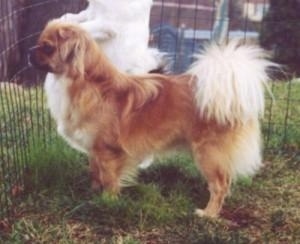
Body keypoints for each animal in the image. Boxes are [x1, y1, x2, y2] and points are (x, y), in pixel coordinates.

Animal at [29, 20, 274, 217]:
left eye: (48, 47)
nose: (30, 51)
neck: (86, 85)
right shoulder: (95, 150)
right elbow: (95, 173)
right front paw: (93, 193)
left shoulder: (108, 151)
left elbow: (108, 179)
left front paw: (107, 202)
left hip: (208, 154)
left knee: (220, 185)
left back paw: (209, 214)